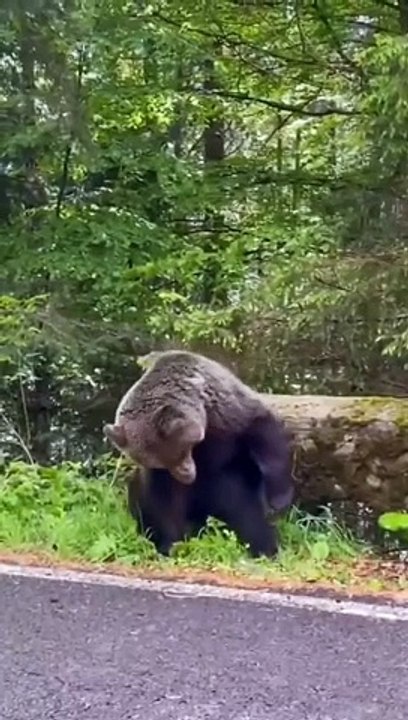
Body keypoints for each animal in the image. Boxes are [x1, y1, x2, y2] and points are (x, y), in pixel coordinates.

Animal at [103, 350, 294, 514]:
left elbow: (264, 434)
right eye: (161, 464)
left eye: (183, 450)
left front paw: (278, 500)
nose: (187, 476)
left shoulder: (229, 410)